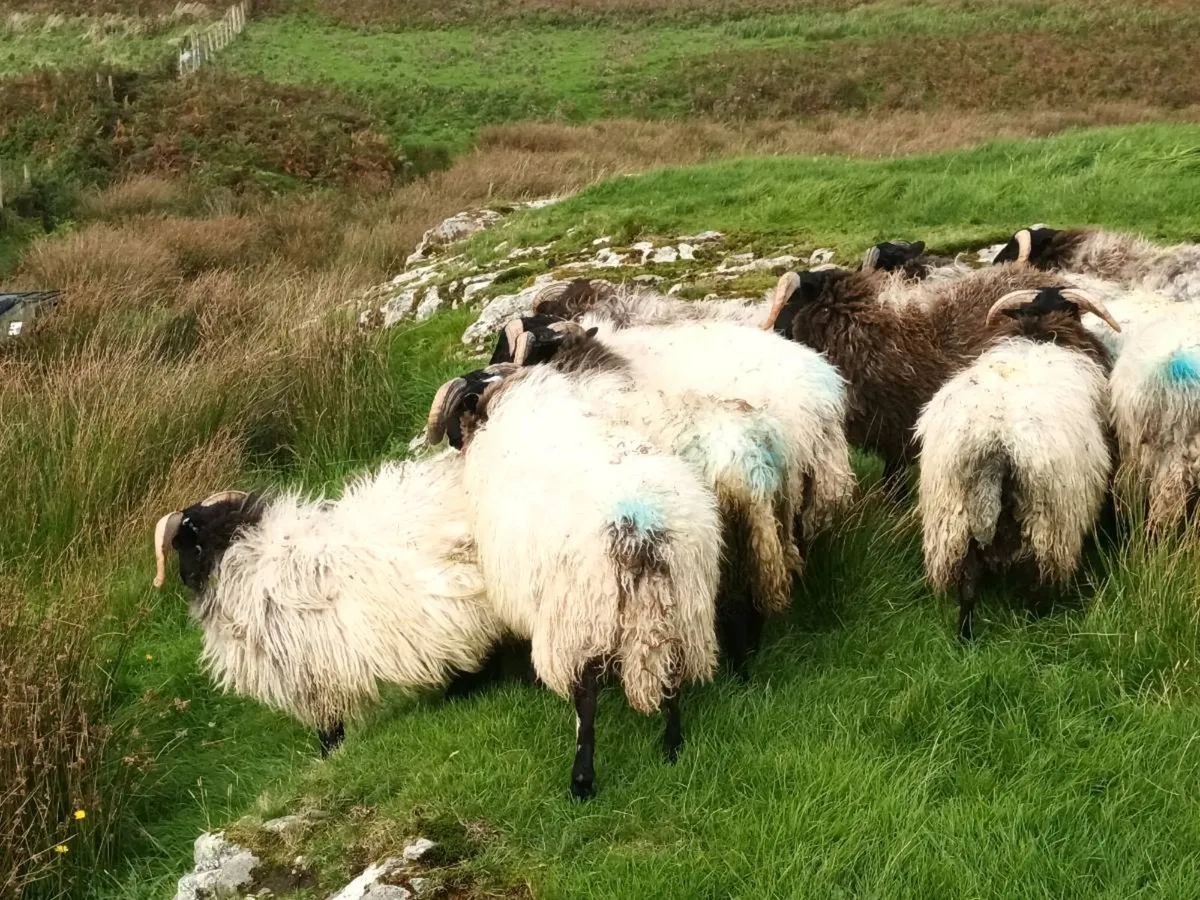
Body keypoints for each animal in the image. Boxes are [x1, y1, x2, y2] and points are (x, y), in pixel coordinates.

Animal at [151, 453, 511, 756]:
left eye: (181, 543)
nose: (182, 577)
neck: (238, 554)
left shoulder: (308, 668)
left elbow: (327, 720)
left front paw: (330, 754)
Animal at [426, 362, 722, 799]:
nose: (450, 440)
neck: (499, 403)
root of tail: (639, 531)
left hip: (581, 615)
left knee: (586, 696)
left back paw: (581, 780)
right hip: (684, 606)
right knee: (671, 676)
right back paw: (672, 747)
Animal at [916, 287, 1118, 639]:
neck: (1038, 330)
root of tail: (995, 447)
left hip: (953, 517)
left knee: (968, 587)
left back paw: (965, 636)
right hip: (1048, 523)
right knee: (1036, 586)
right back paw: (1035, 625)